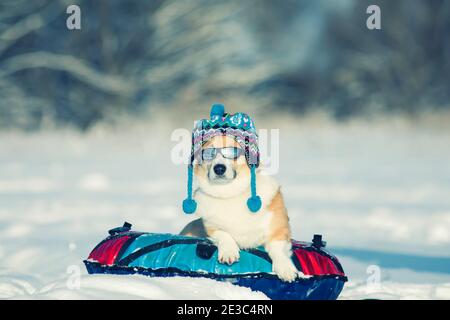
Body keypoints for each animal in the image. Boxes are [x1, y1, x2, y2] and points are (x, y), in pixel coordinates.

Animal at [179, 135, 298, 282]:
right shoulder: (211, 228)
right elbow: (223, 234)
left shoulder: (279, 229)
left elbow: (278, 248)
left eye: (233, 152)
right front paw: (229, 251)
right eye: (208, 153)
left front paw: (285, 268)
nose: (219, 168)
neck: (230, 193)